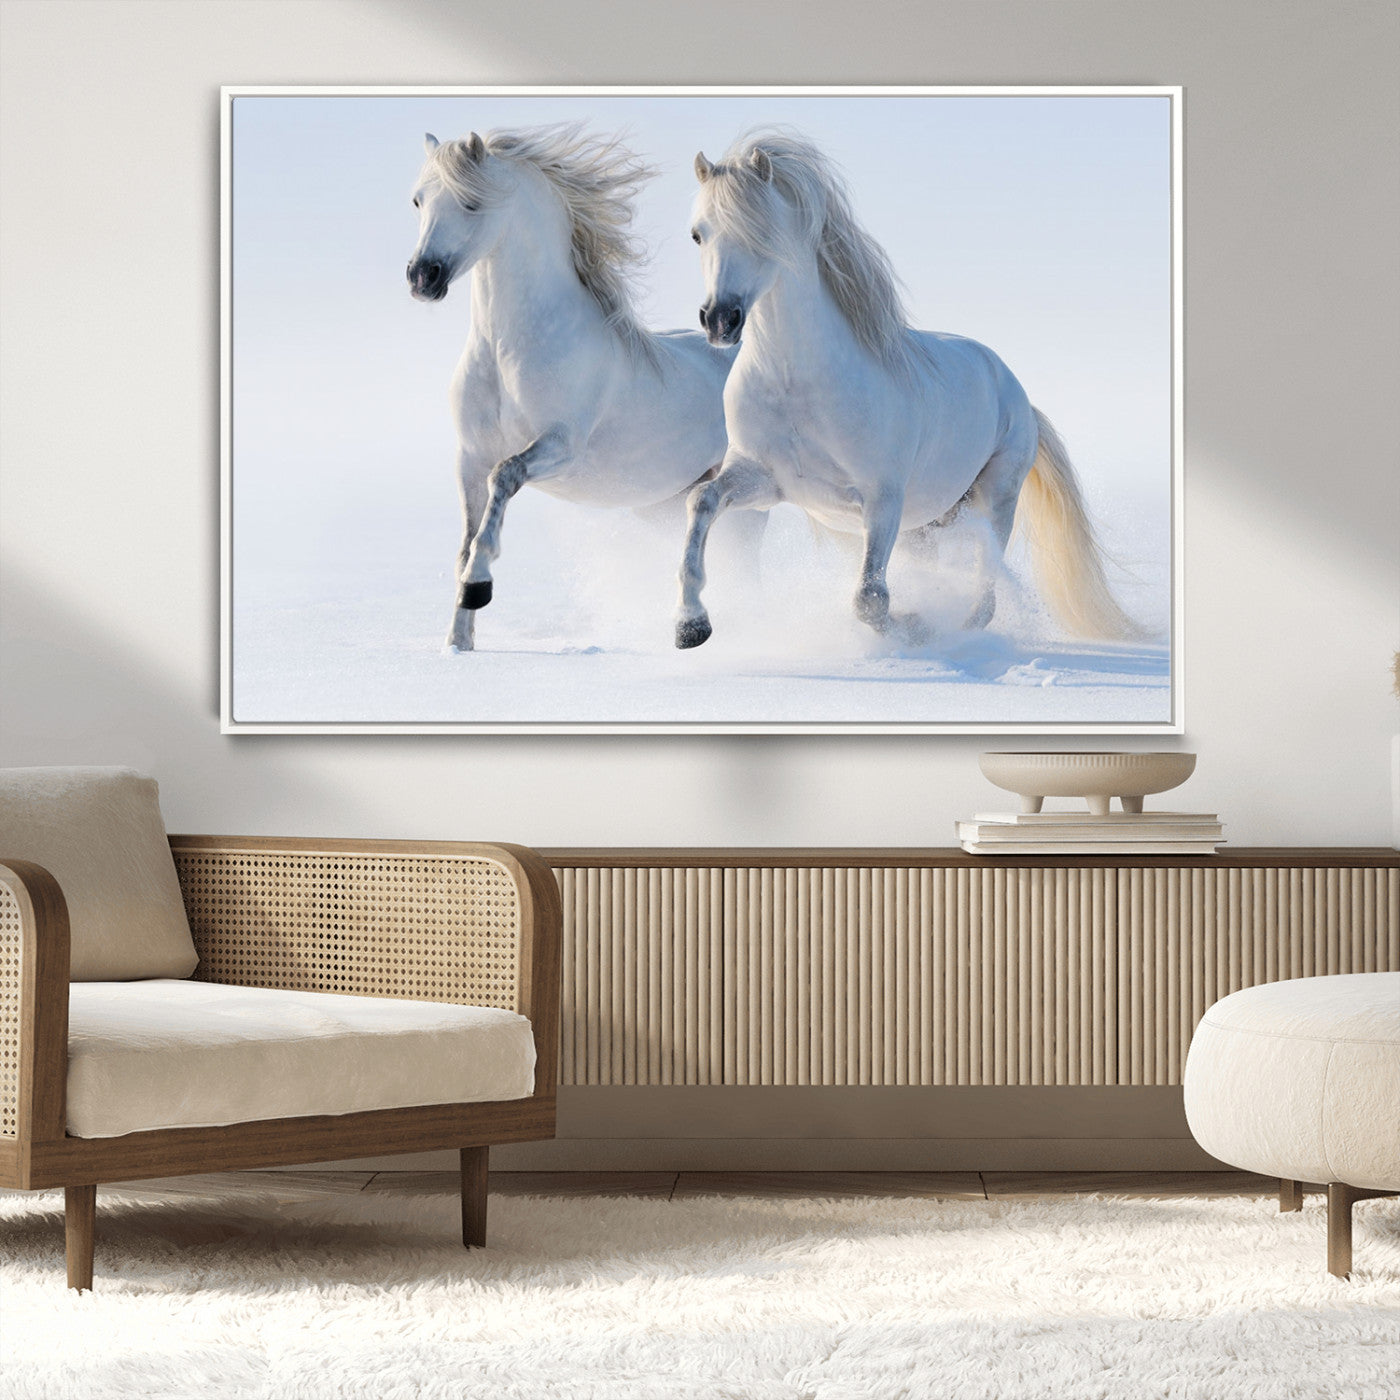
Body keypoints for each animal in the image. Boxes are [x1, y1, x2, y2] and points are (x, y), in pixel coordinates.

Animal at [406, 126, 736, 652]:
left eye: (472, 203)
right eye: (418, 200)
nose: (422, 277)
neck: (506, 350)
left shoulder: (560, 446)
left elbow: (504, 479)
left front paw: (479, 587)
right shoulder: (468, 457)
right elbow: (465, 539)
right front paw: (458, 643)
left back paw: (696, 626)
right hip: (666, 503)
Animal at [675, 129, 1139, 651]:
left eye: (762, 231)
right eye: (698, 233)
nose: (720, 320)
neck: (797, 384)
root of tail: (1017, 393)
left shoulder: (883, 500)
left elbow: (870, 600)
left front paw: (915, 628)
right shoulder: (764, 481)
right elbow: (701, 501)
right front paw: (690, 625)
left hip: (994, 498)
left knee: (985, 589)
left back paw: (959, 632)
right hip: (928, 524)